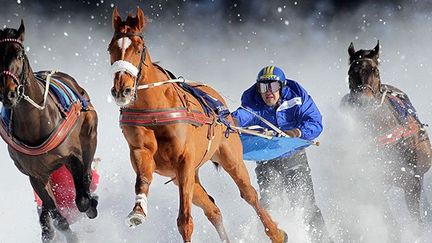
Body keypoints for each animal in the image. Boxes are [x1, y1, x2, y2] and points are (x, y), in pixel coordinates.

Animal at [0, 21, 98, 242]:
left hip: (89, 133)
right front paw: (61, 231)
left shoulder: (72, 157)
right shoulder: (35, 174)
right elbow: (56, 215)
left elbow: (82, 200)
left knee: (87, 174)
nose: (9, 94)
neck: (36, 123)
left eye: (19, 54)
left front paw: (90, 204)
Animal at [105, 6, 286, 242]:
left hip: (229, 156)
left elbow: (185, 221)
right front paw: (138, 211)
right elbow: (143, 178)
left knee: (249, 194)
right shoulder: (142, 152)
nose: (122, 90)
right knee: (213, 210)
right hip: (185, 176)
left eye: (137, 48)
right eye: (111, 49)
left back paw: (276, 233)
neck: (155, 110)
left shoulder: (184, 162)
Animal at [340, 40, 432, 238]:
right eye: (351, 72)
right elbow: (389, 219)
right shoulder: (374, 181)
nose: (363, 101)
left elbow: (416, 217)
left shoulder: (413, 181)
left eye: (374, 70)